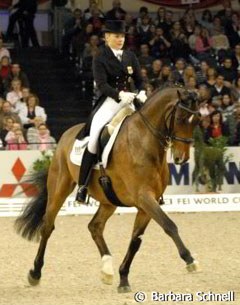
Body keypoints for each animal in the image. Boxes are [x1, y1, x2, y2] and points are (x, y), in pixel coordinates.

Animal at [15, 86, 201, 292]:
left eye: (197, 120)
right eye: (180, 119)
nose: (181, 158)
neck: (145, 142)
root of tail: (67, 134)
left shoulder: (146, 205)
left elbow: (136, 240)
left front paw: (123, 278)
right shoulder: (144, 197)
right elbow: (169, 225)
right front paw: (190, 260)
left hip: (108, 200)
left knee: (95, 226)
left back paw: (107, 270)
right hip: (60, 188)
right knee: (48, 227)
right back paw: (35, 273)